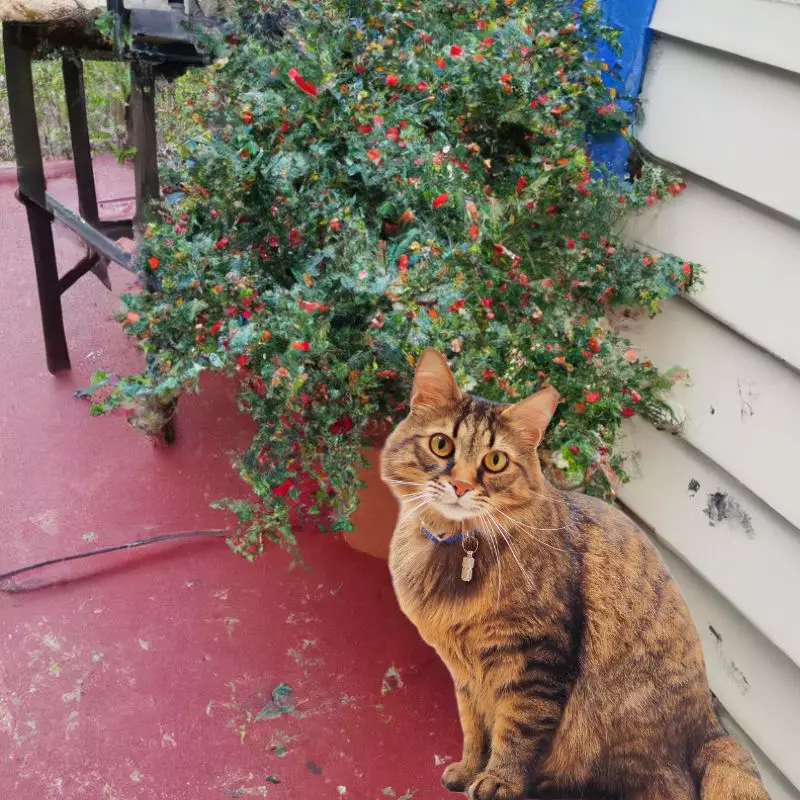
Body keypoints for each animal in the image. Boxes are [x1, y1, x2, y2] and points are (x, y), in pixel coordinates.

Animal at [382, 350, 768, 800]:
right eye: (441, 444)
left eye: (495, 461)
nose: (459, 487)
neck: (455, 549)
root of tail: (712, 731)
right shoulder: (464, 675)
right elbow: (473, 729)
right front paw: (466, 770)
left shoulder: (536, 659)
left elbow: (516, 734)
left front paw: (497, 781)